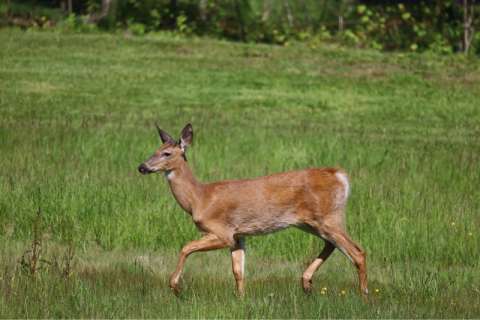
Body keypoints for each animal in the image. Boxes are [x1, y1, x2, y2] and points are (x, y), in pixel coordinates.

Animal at [137, 124, 370, 296]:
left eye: (166, 153)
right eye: (154, 150)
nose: (142, 167)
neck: (199, 198)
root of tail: (341, 176)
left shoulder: (222, 232)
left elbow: (186, 247)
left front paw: (175, 286)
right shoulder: (238, 236)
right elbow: (238, 271)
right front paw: (241, 298)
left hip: (328, 217)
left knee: (357, 251)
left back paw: (363, 295)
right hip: (310, 222)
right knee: (332, 245)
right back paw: (306, 282)